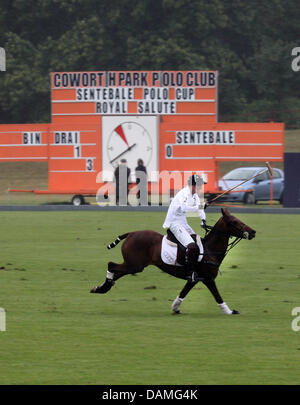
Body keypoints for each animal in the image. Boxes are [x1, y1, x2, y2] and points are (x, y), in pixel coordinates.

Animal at [89, 208, 255, 316]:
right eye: (235, 222)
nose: (253, 232)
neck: (209, 249)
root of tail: (131, 233)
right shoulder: (208, 278)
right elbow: (217, 295)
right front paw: (230, 311)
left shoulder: (195, 279)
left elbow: (183, 292)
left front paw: (175, 308)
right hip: (134, 265)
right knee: (111, 265)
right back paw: (103, 287)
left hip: (132, 265)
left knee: (116, 272)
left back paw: (101, 288)